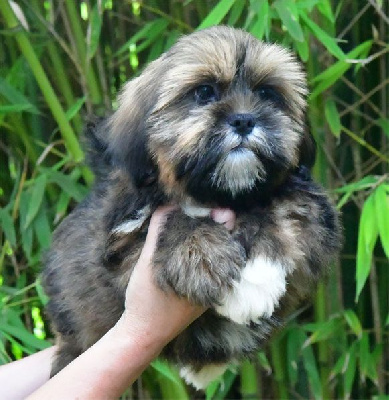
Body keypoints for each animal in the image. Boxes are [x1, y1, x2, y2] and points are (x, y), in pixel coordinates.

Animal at [42, 26, 340, 390]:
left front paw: (257, 274)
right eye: (204, 92)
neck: (218, 194)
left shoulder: (316, 211)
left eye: (268, 93)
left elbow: (280, 206)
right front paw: (206, 258)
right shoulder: (121, 237)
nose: (244, 119)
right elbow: (175, 220)